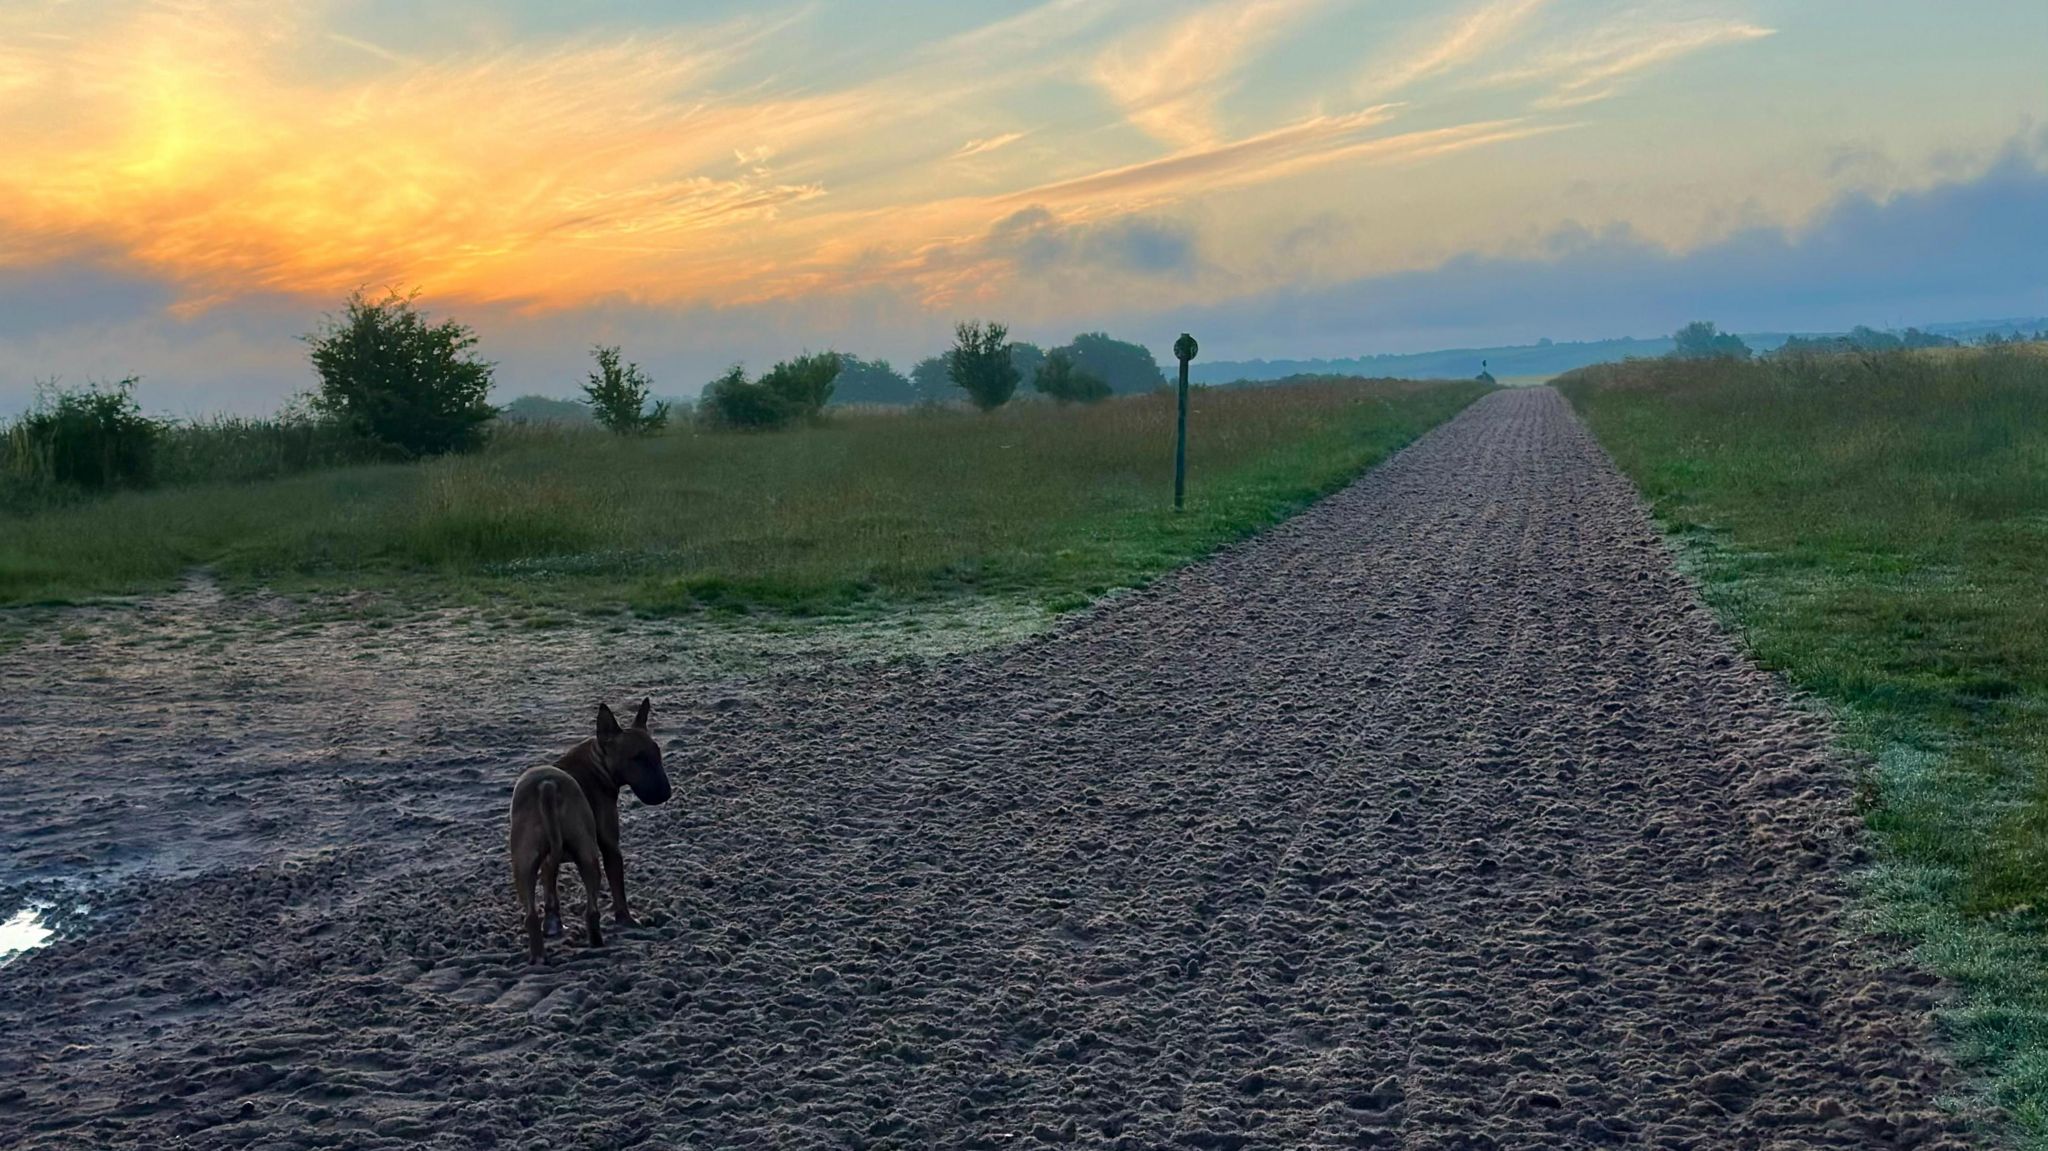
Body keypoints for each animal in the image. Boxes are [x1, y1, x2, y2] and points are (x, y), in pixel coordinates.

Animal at [509, 700, 675, 958]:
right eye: (637, 758)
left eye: (657, 755)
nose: (666, 793)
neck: (596, 762)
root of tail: (547, 786)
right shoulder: (610, 846)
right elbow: (618, 886)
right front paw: (627, 920)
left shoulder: (548, 859)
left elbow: (549, 885)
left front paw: (554, 924)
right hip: (588, 856)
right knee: (592, 911)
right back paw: (597, 943)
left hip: (523, 863)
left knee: (530, 917)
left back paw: (538, 957)